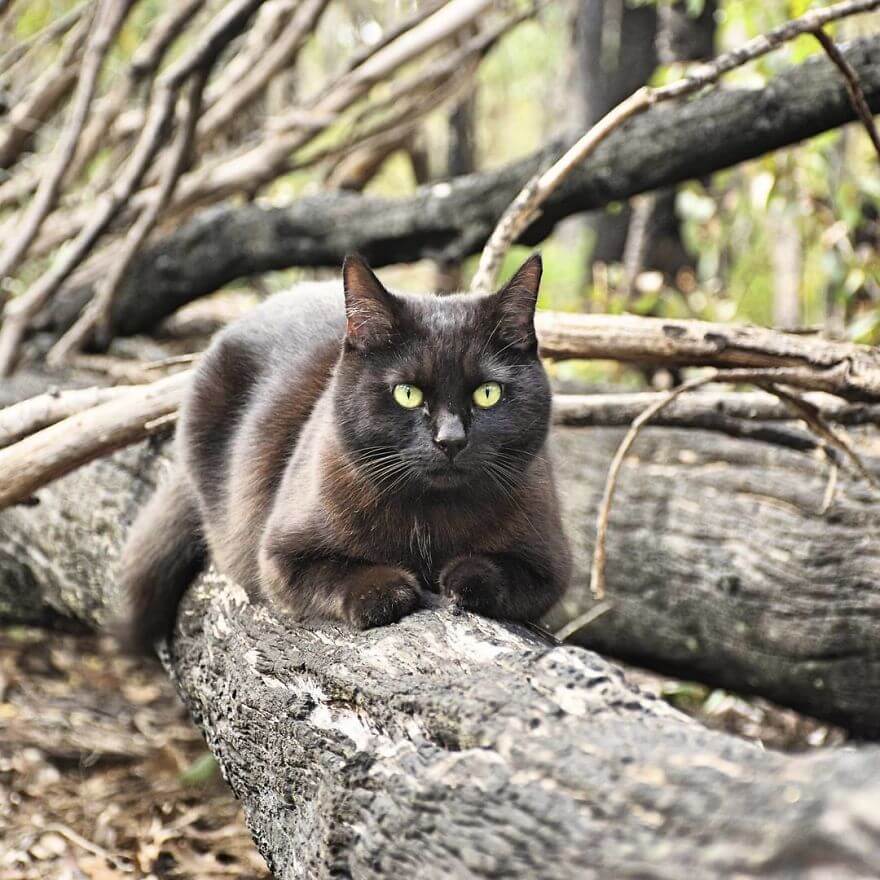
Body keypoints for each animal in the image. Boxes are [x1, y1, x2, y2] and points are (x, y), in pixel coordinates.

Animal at [118, 251, 572, 648]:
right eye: (407, 393)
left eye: (488, 393)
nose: (451, 439)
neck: (431, 517)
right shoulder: (279, 555)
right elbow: (336, 572)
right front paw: (387, 591)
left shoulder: (550, 563)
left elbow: (503, 575)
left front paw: (464, 578)